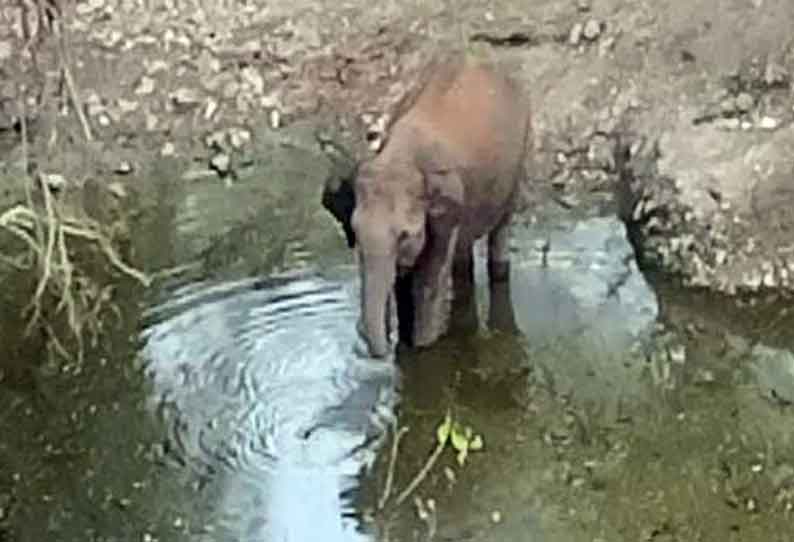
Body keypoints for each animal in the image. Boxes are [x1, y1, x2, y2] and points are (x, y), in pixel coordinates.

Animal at [318, 54, 528, 362]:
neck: (400, 155)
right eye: (354, 231)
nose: (373, 353)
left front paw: (422, 349)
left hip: (517, 165)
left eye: (404, 236)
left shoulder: (446, 211)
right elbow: (403, 286)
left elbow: (426, 284)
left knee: (501, 229)